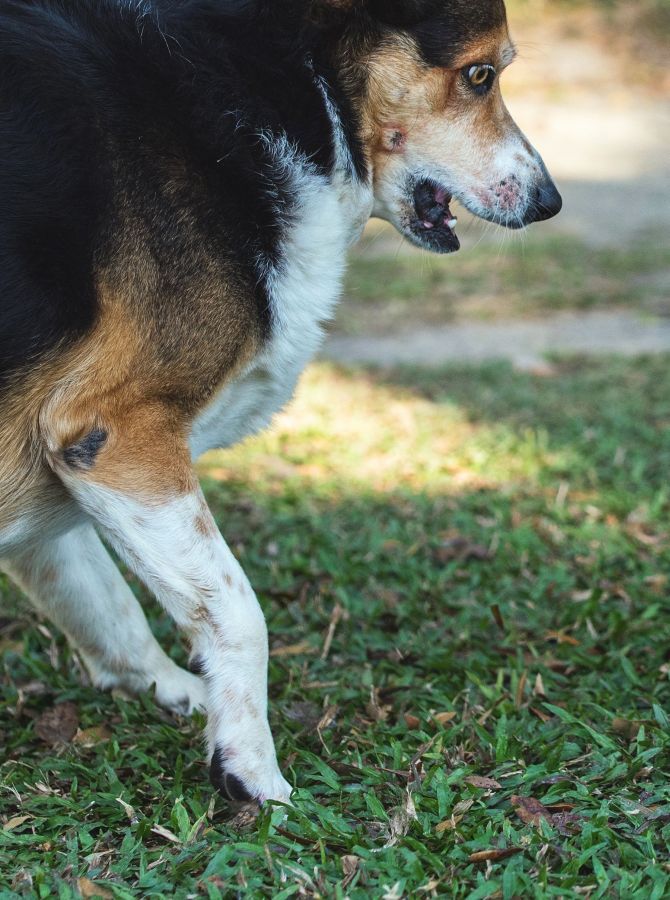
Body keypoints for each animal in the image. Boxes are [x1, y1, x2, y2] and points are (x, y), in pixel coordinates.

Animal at [1, 0, 560, 800]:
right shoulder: (114, 433)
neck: (268, 80)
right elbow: (237, 612)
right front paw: (252, 774)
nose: (551, 202)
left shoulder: (60, 465)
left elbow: (107, 607)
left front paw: (181, 696)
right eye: (481, 74)